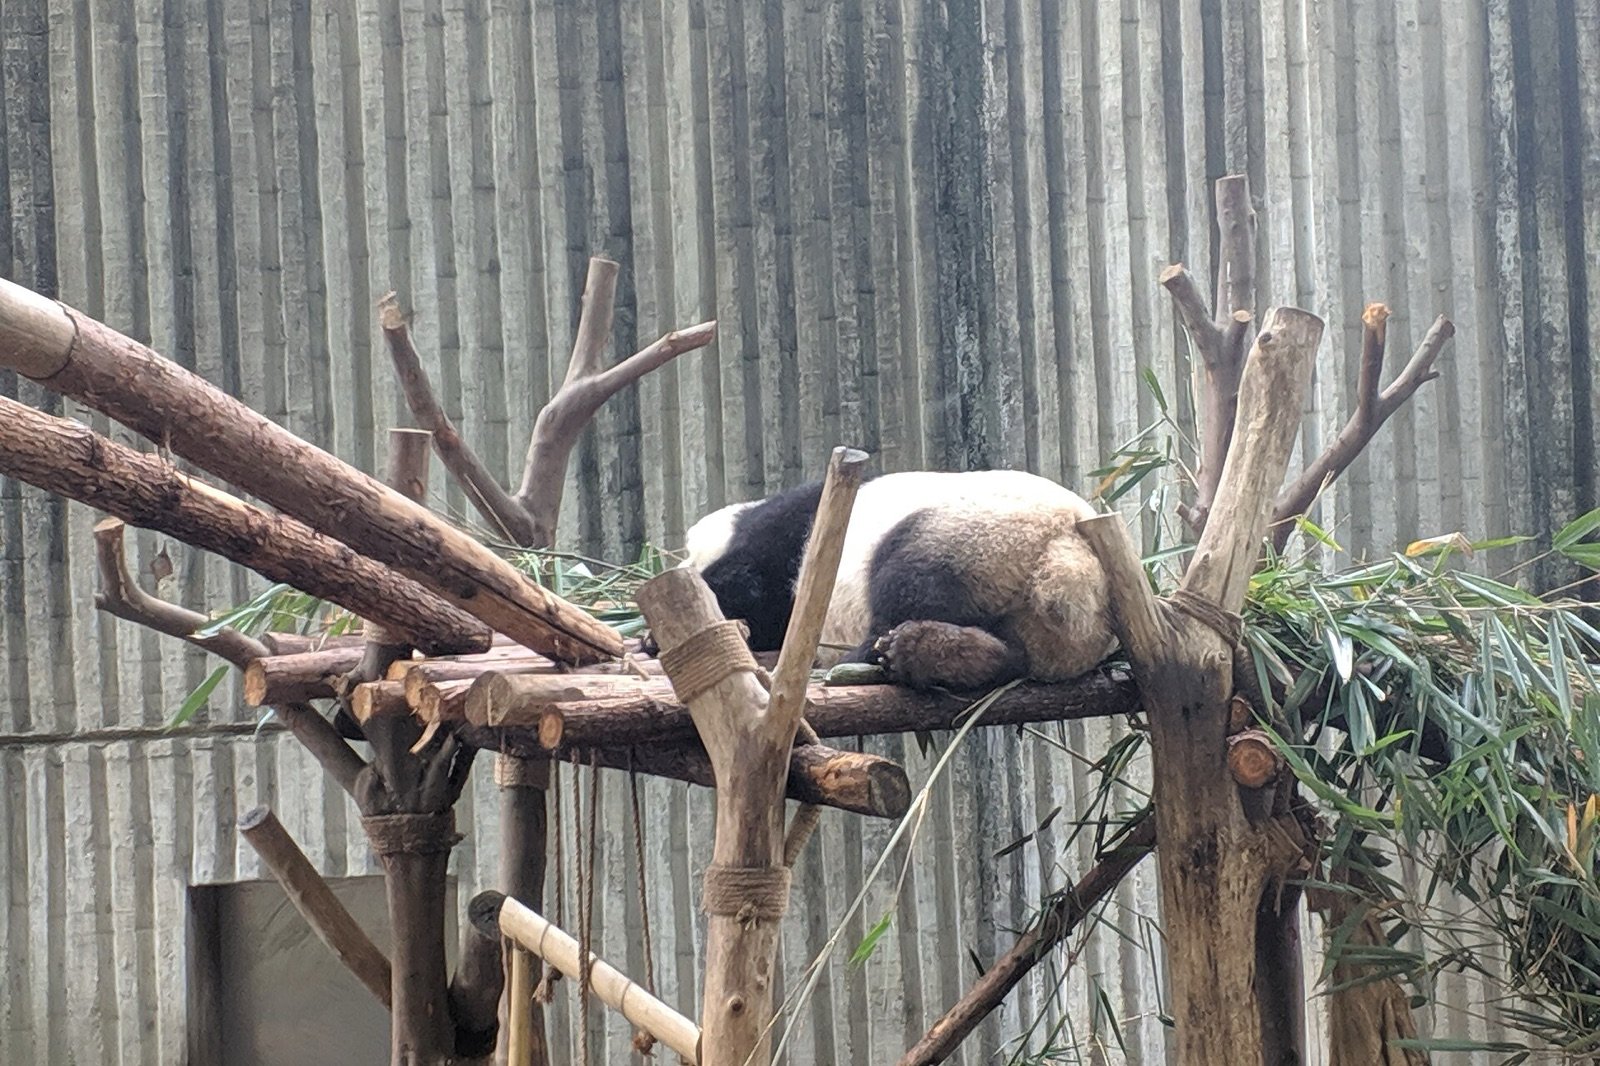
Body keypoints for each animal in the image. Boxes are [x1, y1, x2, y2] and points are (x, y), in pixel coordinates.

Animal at [669, 468, 1119, 691]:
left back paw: (870, 655)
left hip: (973, 534)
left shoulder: (788, 540)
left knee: (907, 581)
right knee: (1016, 655)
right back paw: (946, 655)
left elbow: (750, 589)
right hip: (1052, 636)